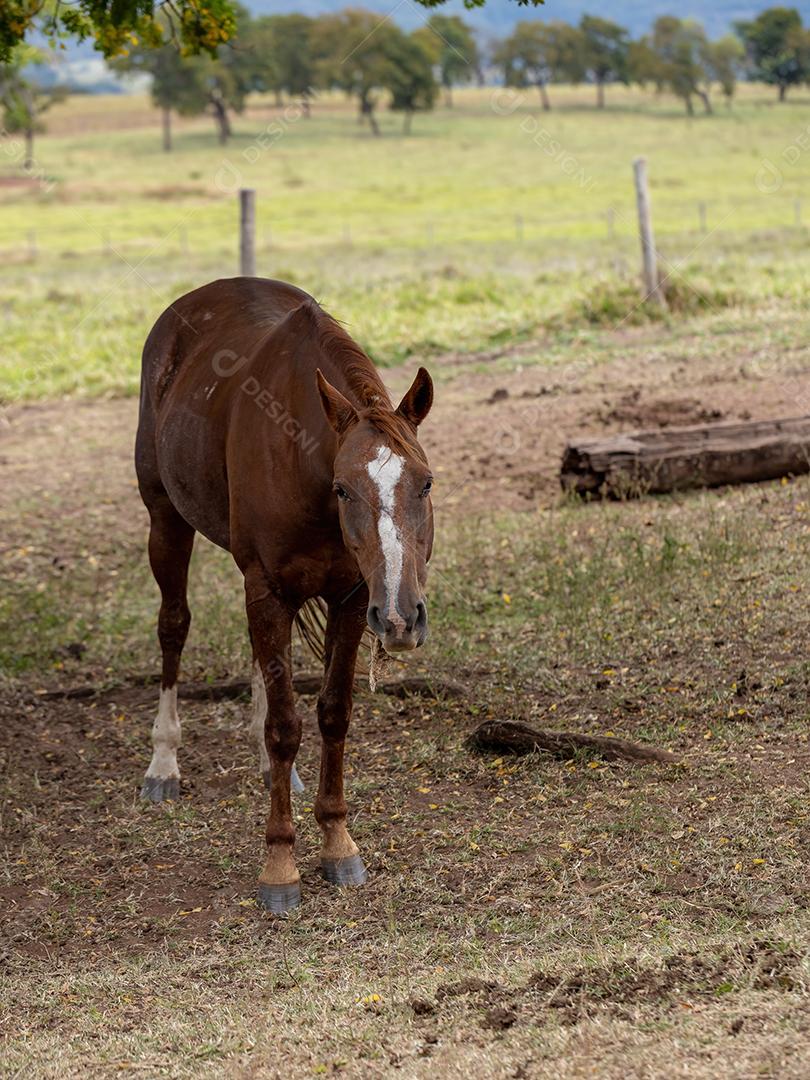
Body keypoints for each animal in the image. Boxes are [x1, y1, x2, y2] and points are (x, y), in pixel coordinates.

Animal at [135, 277, 434, 913]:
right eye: (343, 489)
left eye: (426, 483)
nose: (403, 618)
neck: (303, 455)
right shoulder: (269, 588)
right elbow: (284, 727)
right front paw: (280, 866)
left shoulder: (353, 598)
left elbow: (332, 713)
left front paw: (339, 843)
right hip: (165, 519)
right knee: (173, 626)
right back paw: (163, 762)